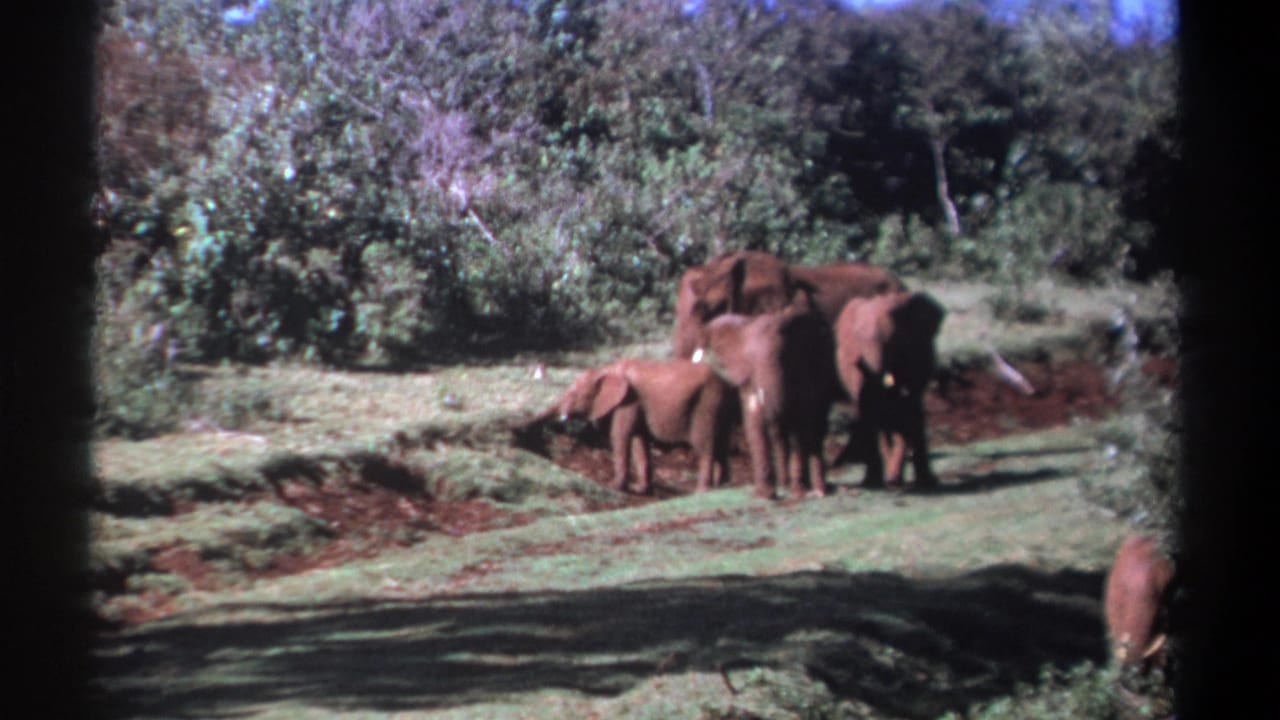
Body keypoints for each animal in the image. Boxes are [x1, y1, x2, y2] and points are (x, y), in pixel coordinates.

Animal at [552, 358, 736, 495]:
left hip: (707, 404)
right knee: (721, 443)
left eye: (574, 394)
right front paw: (639, 489)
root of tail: (724, 381)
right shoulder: (634, 404)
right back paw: (722, 486)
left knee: (704, 445)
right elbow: (638, 441)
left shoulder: (628, 401)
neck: (605, 370)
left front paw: (613, 486)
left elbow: (621, 436)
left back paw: (701, 491)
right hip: (720, 405)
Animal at [701, 290, 838, 499]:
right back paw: (788, 485)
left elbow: (802, 422)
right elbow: (754, 423)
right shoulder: (747, 379)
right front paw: (765, 495)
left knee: (816, 428)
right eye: (750, 362)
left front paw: (799, 493)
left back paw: (818, 490)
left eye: (785, 357)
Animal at [833, 291, 946, 489]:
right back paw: (878, 481)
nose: (892, 480)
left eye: (893, 340)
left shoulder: (916, 353)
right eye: (858, 341)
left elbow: (909, 407)